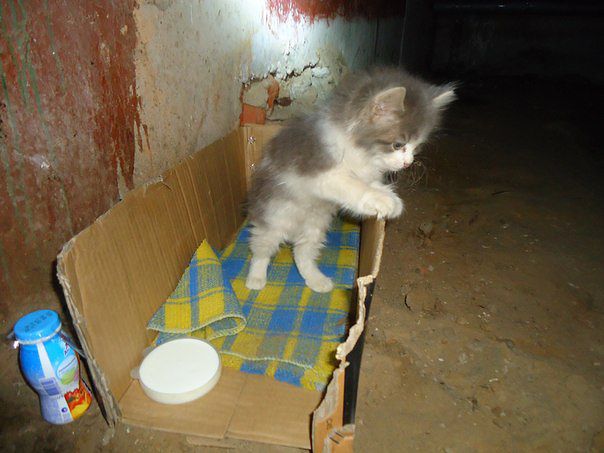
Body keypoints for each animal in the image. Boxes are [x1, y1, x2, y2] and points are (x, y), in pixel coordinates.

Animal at [245, 67, 456, 293]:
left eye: (417, 147)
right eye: (398, 145)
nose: (408, 163)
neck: (358, 148)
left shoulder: (366, 172)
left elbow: (370, 183)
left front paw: (390, 197)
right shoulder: (322, 175)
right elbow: (353, 186)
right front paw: (383, 199)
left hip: (315, 227)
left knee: (302, 253)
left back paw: (316, 280)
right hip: (273, 220)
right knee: (261, 249)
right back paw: (255, 278)